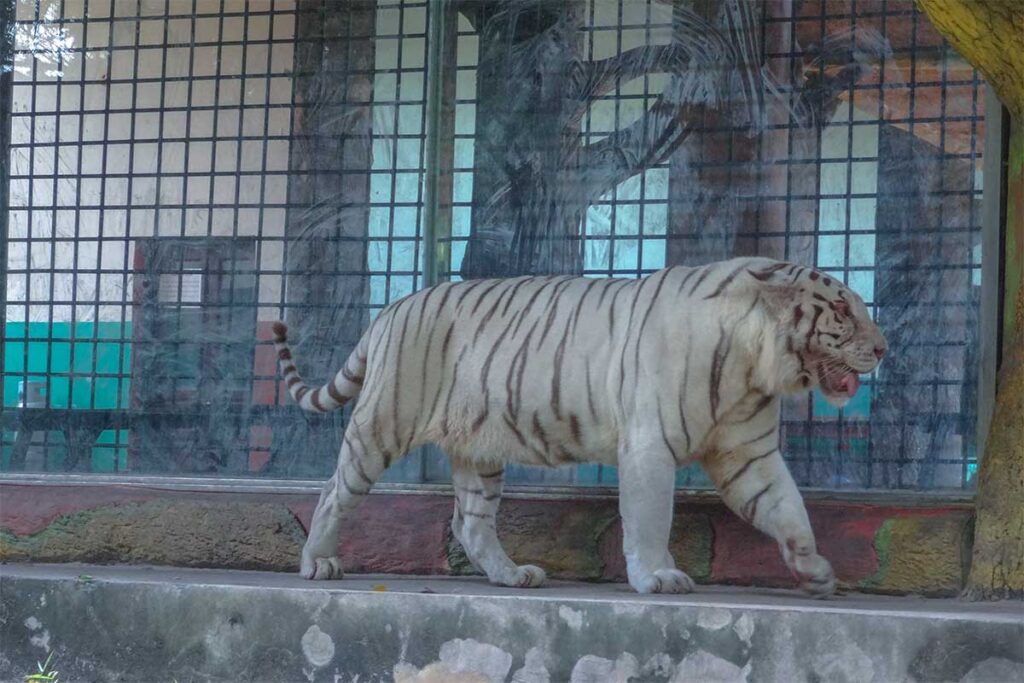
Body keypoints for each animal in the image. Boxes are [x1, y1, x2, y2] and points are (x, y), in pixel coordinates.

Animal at [271, 256, 886, 596]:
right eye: (843, 311)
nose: (883, 347)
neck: (754, 369)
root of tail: (391, 308)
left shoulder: (748, 454)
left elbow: (788, 508)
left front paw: (814, 570)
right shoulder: (649, 447)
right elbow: (650, 519)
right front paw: (657, 577)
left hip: (479, 450)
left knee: (471, 522)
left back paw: (512, 575)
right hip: (382, 421)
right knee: (334, 490)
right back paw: (317, 562)